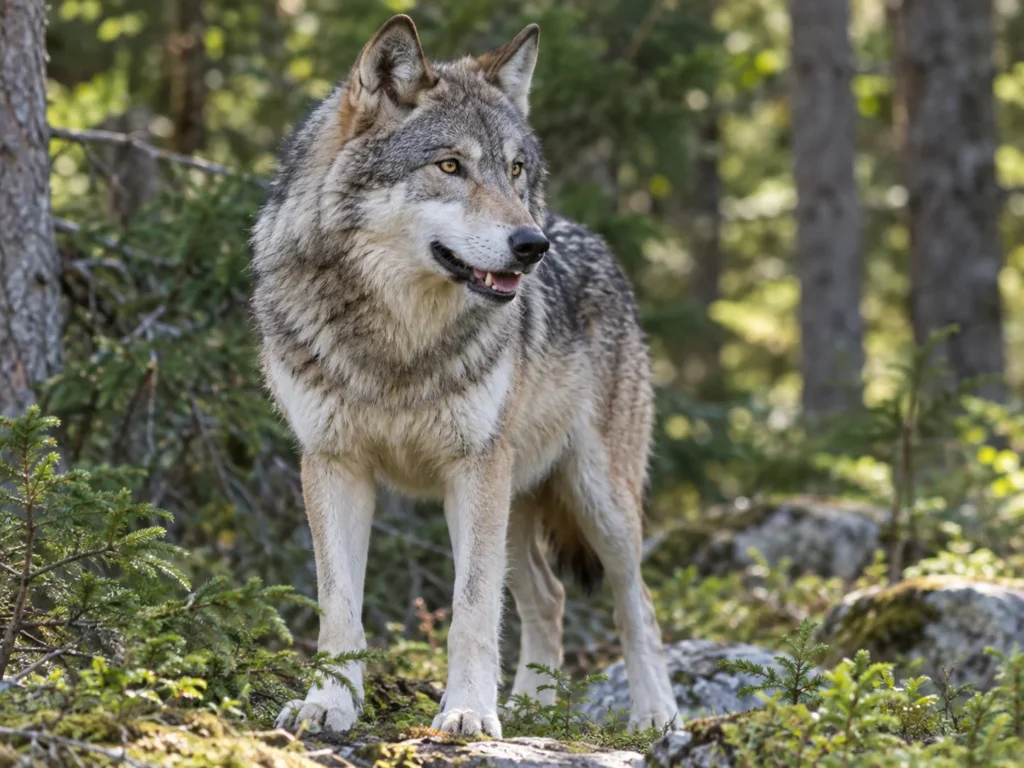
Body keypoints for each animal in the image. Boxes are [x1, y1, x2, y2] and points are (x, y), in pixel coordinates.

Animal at [251, 15, 679, 737]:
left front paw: (470, 712)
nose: (532, 246)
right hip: (519, 501)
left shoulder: (474, 468)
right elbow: (338, 606)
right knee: (550, 596)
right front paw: (328, 703)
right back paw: (534, 708)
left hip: (595, 502)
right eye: (450, 165)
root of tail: (587, 234)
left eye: (515, 169)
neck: (399, 342)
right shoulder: (333, 464)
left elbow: (472, 611)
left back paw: (657, 718)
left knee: (637, 604)